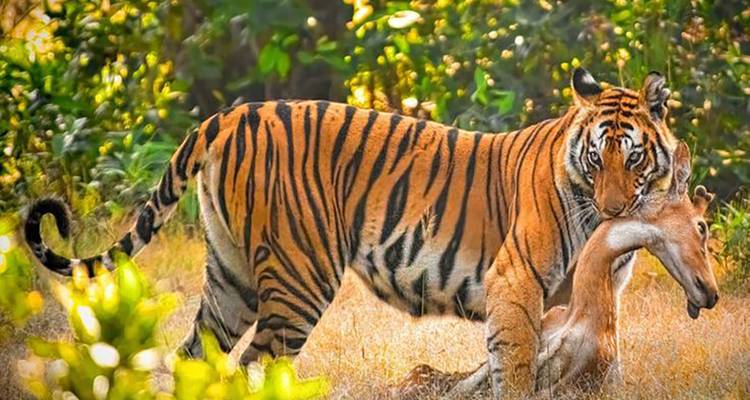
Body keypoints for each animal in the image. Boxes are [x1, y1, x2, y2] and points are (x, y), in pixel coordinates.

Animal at [24, 68, 691, 397]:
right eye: (597, 158)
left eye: (632, 158)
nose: (611, 209)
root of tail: (230, 114)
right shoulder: (517, 281)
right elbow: (518, 364)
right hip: (299, 280)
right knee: (251, 366)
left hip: (231, 278)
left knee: (196, 356)